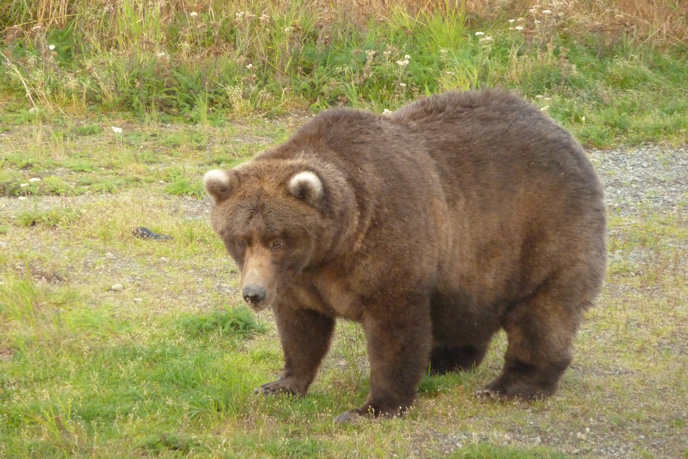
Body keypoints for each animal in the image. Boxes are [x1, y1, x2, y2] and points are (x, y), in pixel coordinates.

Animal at [204, 90, 608, 424]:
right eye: (240, 239)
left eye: (276, 240)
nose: (254, 294)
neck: (332, 248)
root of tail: (559, 129)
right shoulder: (299, 280)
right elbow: (301, 329)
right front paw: (279, 385)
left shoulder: (388, 247)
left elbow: (394, 332)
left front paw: (371, 408)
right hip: (478, 258)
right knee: (469, 309)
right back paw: (445, 360)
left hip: (540, 225)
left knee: (543, 310)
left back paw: (511, 386)